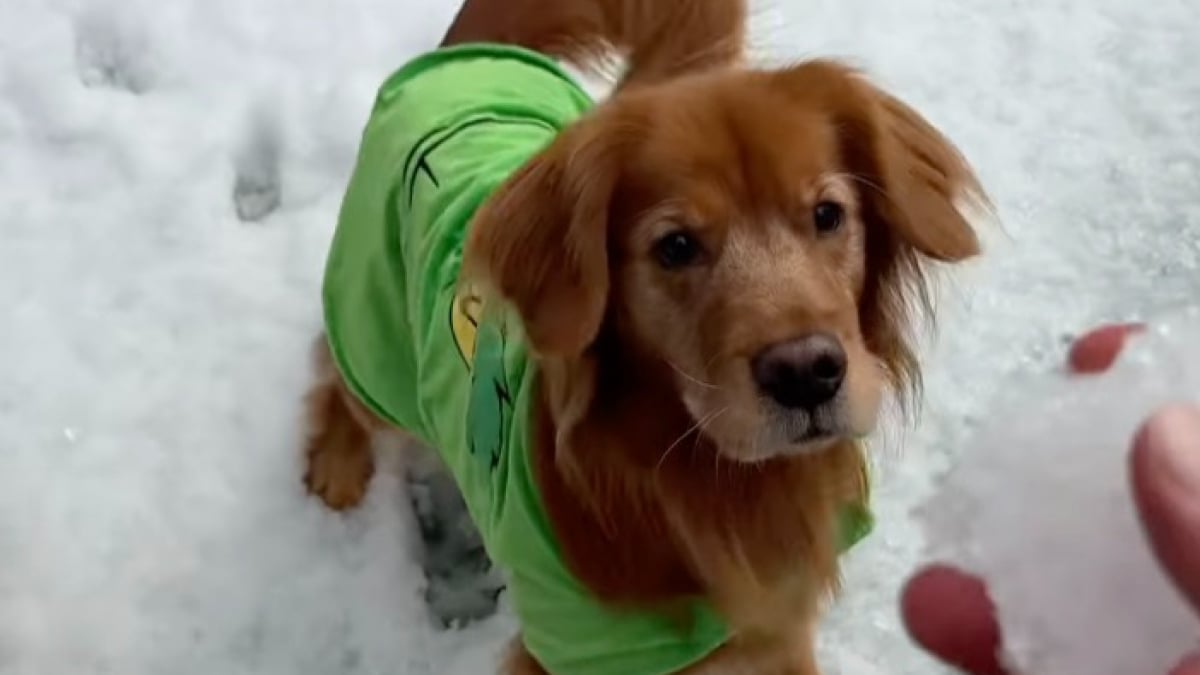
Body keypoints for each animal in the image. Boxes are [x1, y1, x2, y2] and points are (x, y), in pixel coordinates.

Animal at [302, 1, 984, 667]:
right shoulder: (571, 648)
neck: (703, 485)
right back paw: (335, 465)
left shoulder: (777, 630)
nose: (806, 373)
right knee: (336, 373)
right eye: (675, 247)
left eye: (827, 215)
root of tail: (466, 57)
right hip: (377, 348)